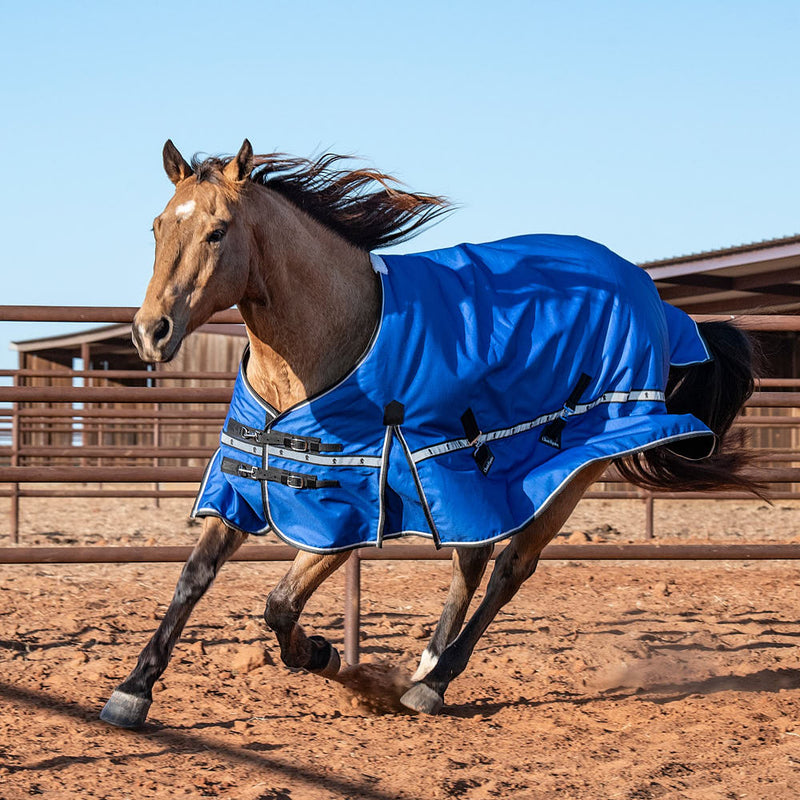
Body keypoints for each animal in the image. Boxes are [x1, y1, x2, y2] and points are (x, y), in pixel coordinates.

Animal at [100, 139, 759, 727]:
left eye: (217, 232)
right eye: (157, 228)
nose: (150, 332)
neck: (330, 337)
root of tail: (655, 300)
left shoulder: (348, 510)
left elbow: (280, 605)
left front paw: (326, 657)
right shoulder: (243, 483)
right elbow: (193, 579)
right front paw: (133, 691)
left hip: (572, 470)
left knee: (511, 567)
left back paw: (431, 684)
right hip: (480, 474)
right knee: (472, 559)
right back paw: (425, 665)